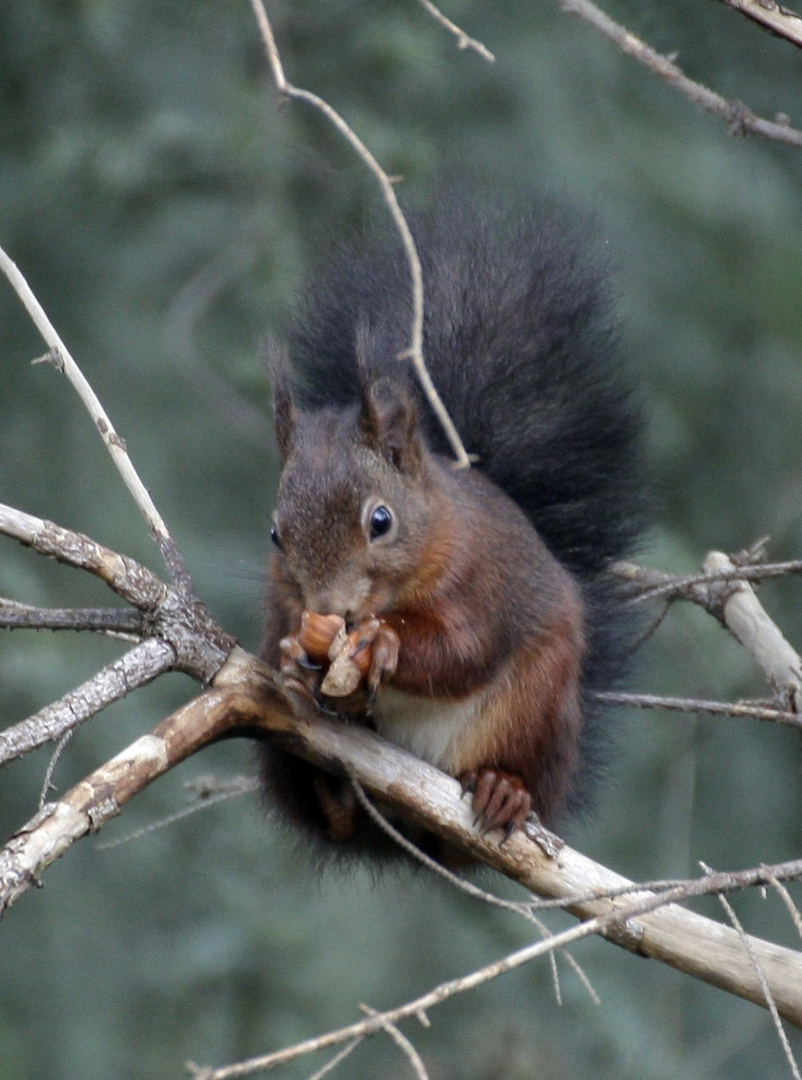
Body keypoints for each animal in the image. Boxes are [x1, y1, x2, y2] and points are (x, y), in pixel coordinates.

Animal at [260, 200, 643, 859]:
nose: (330, 609)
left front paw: (381, 644)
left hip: (538, 703)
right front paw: (294, 655)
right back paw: (330, 787)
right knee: (332, 815)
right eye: (276, 535)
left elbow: (464, 649)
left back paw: (504, 790)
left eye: (381, 521)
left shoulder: (478, 578)